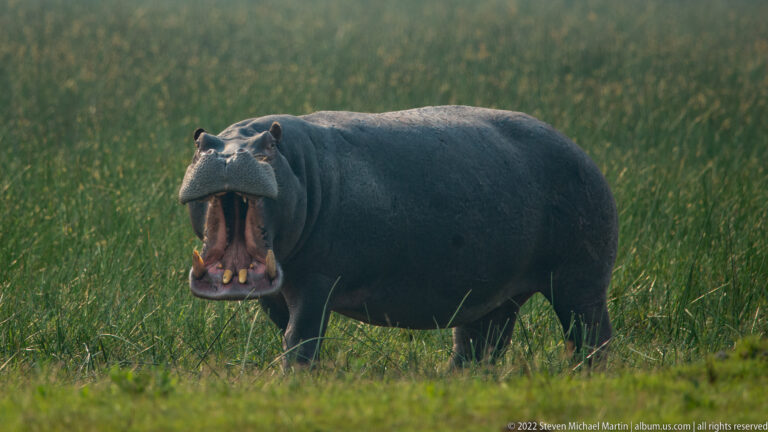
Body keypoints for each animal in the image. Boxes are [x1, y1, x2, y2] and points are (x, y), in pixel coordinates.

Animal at [179, 105, 617, 367]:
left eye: (269, 145)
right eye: (201, 141)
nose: (228, 157)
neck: (299, 164)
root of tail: (582, 152)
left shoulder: (319, 280)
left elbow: (300, 337)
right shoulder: (273, 292)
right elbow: (285, 329)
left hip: (579, 280)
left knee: (590, 335)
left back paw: (584, 375)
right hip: (494, 294)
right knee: (480, 345)